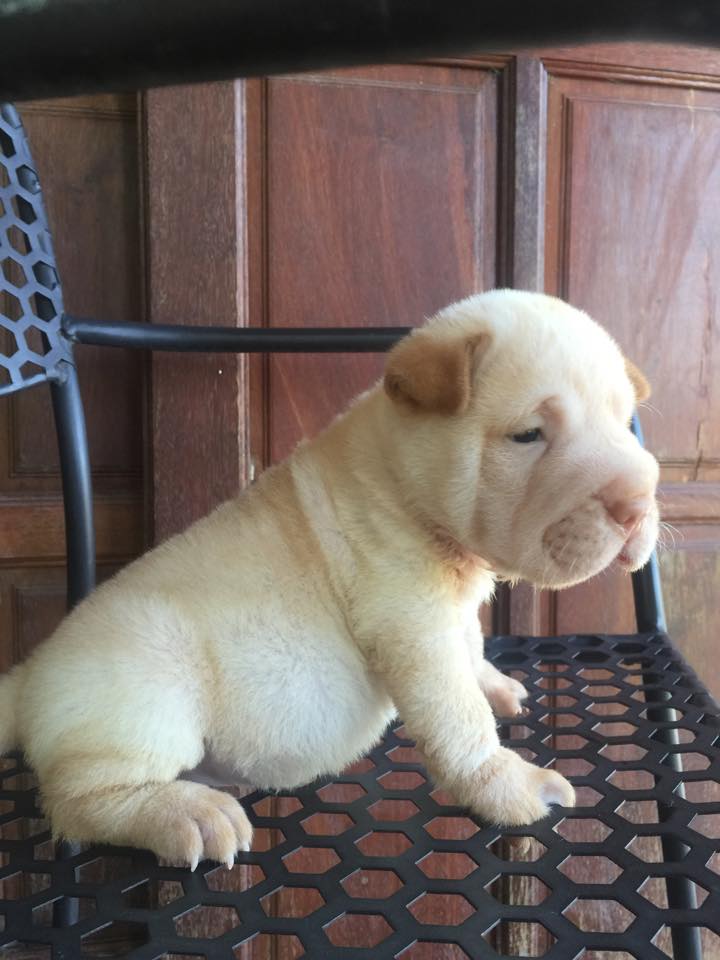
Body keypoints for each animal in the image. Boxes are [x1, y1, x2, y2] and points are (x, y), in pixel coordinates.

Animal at [0, 290, 659, 869]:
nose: (638, 503)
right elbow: (459, 723)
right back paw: (184, 813)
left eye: (625, 423)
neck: (405, 482)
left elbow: (472, 649)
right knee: (76, 802)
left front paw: (494, 683)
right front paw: (510, 785)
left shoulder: (453, 612)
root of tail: (29, 675)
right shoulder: (415, 628)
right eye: (528, 435)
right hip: (145, 692)